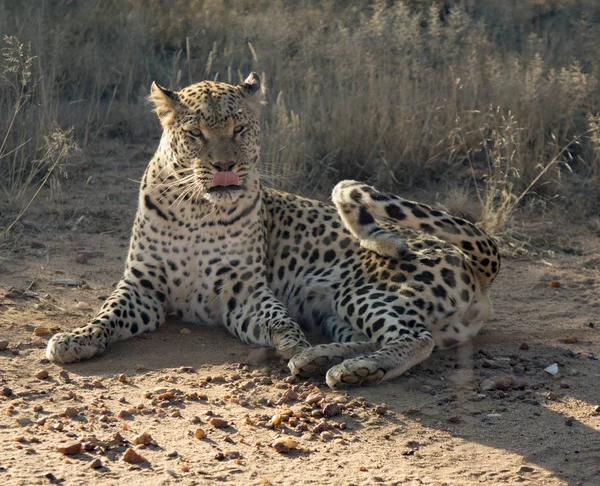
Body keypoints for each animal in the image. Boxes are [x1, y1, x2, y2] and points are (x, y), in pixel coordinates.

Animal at [44, 73, 500, 392]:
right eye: (195, 134)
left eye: (240, 130)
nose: (225, 166)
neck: (196, 209)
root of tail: (474, 265)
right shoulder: (143, 285)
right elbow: (107, 313)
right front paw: (75, 338)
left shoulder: (242, 291)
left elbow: (278, 319)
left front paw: (293, 344)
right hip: (336, 310)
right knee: (374, 337)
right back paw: (321, 360)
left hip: (367, 291)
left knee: (414, 338)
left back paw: (354, 368)